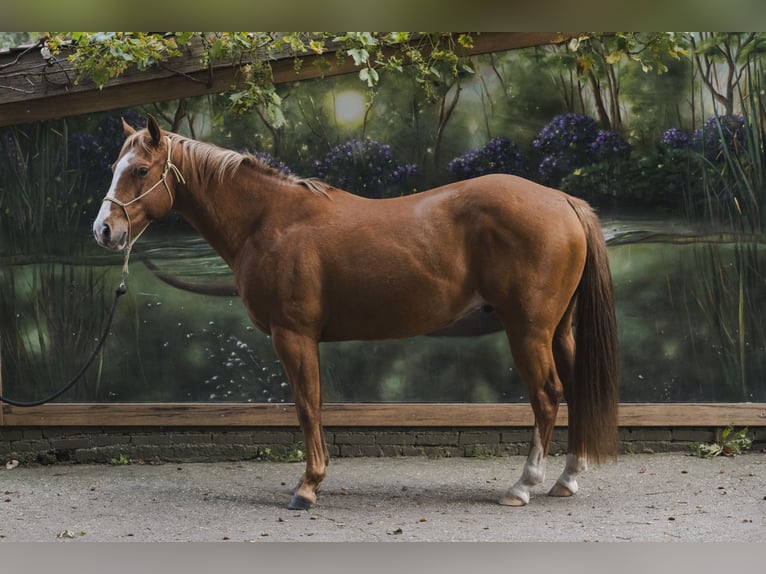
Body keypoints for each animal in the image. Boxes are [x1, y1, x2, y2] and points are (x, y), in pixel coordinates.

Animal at [93, 115, 619, 510]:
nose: (104, 230)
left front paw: (307, 487)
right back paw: (566, 479)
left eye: (141, 170)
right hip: (558, 330)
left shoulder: (293, 336)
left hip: (528, 330)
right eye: (114, 166)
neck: (270, 221)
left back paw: (523, 485)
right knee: (575, 390)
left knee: (547, 396)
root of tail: (564, 200)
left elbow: (307, 406)